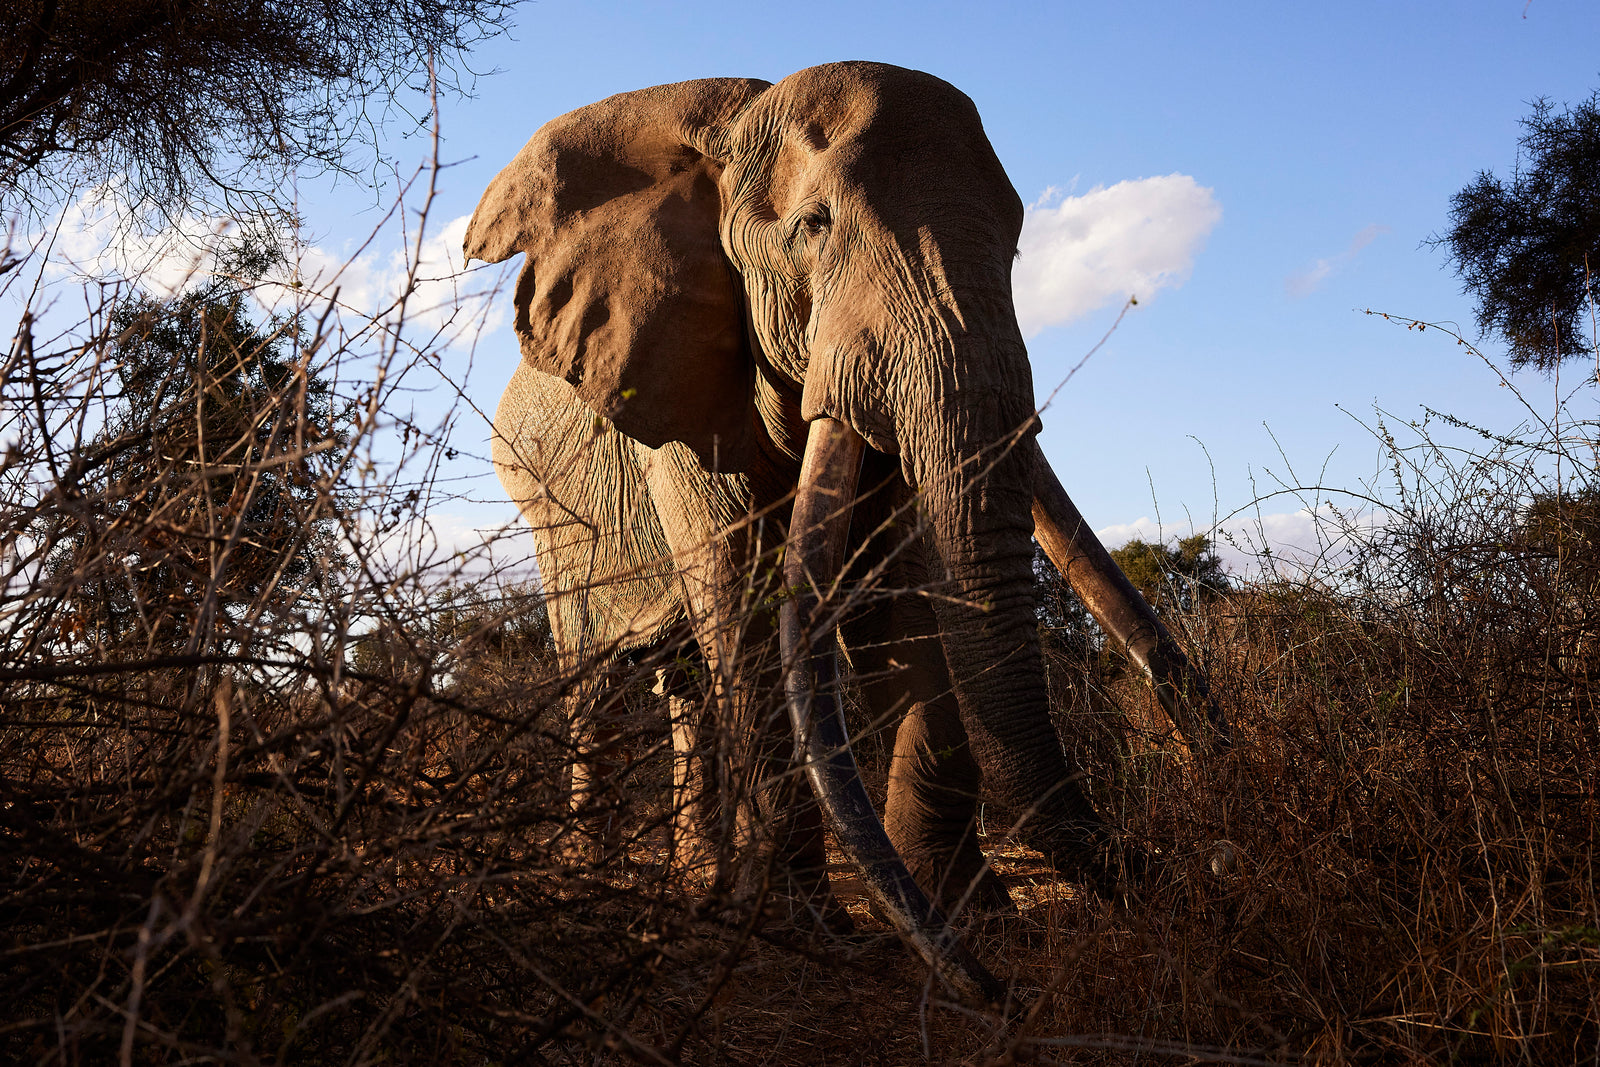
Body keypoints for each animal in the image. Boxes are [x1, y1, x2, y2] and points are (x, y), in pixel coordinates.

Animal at [465, 61, 1225, 1003]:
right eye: (814, 228)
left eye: (1016, 243)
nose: (1001, 991)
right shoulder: (674, 398)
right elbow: (750, 604)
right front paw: (809, 933)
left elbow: (898, 594)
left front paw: (981, 917)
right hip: (552, 519)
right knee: (595, 678)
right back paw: (597, 883)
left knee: (682, 679)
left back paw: (700, 886)